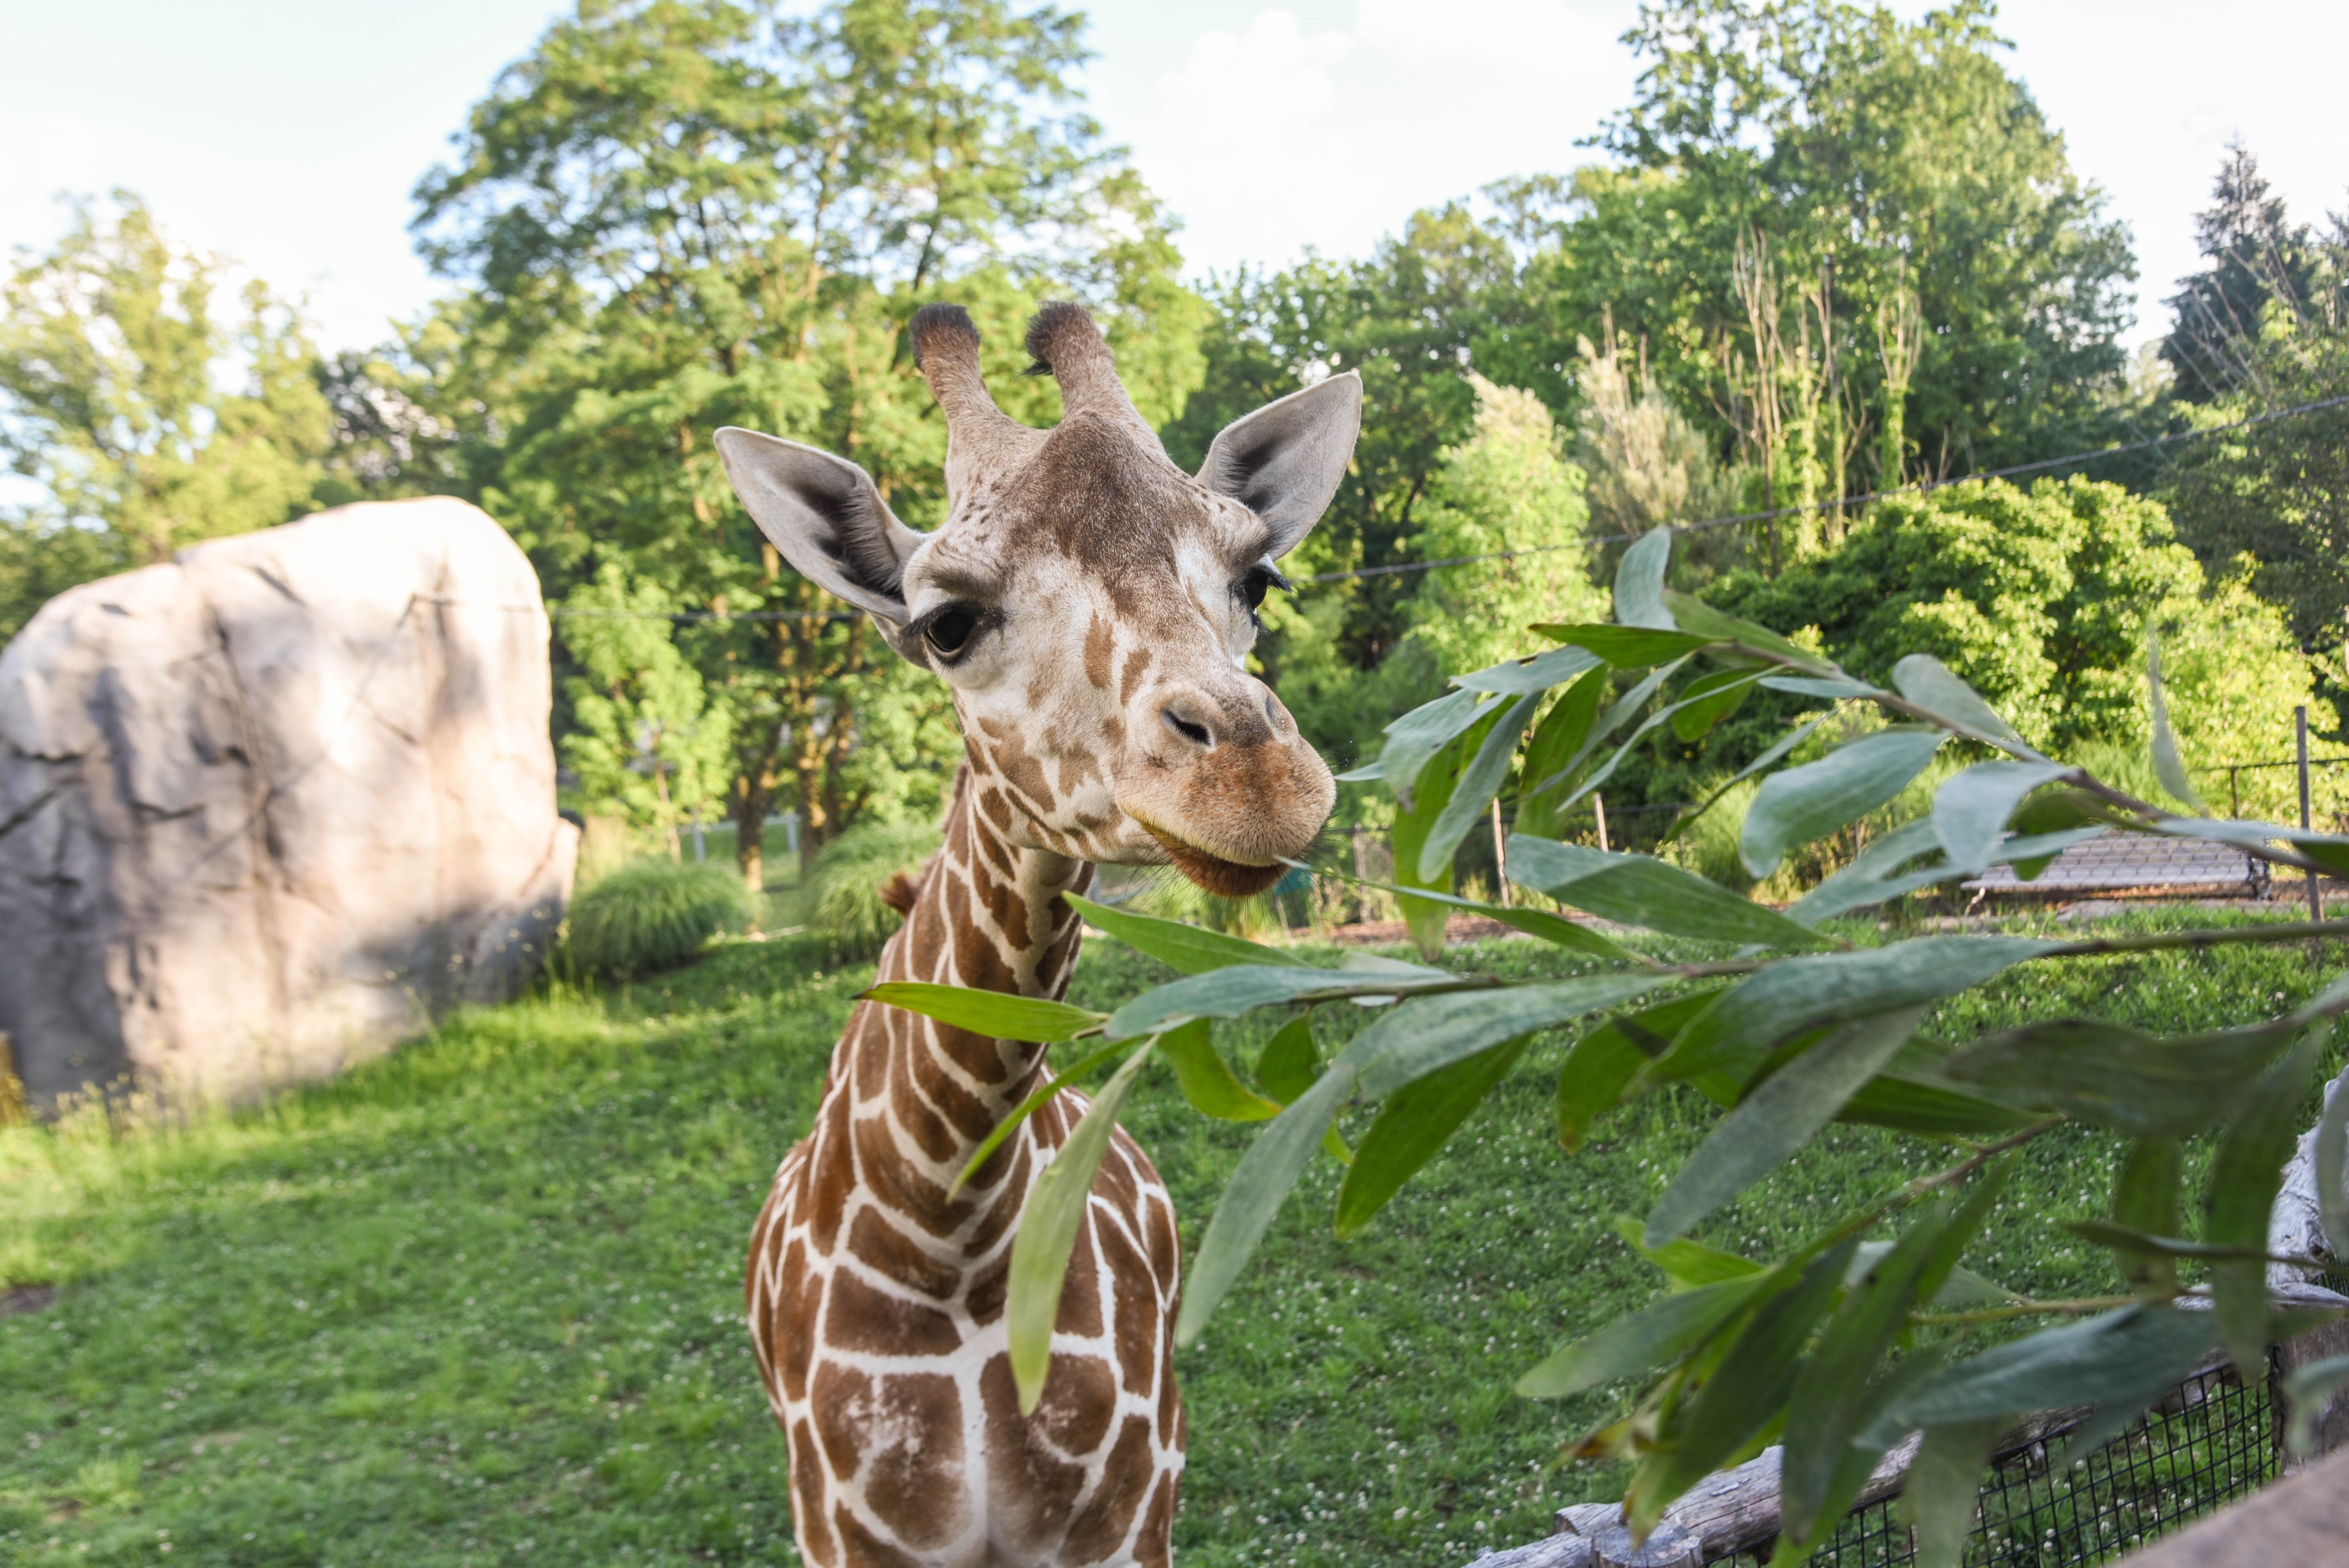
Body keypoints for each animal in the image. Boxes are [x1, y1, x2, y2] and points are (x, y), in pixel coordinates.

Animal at [716, 300, 1361, 1568]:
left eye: (1258, 579)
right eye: (947, 624)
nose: (1254, 783)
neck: (950, 1233)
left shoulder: (1125, 1517)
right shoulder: (844, 1531)